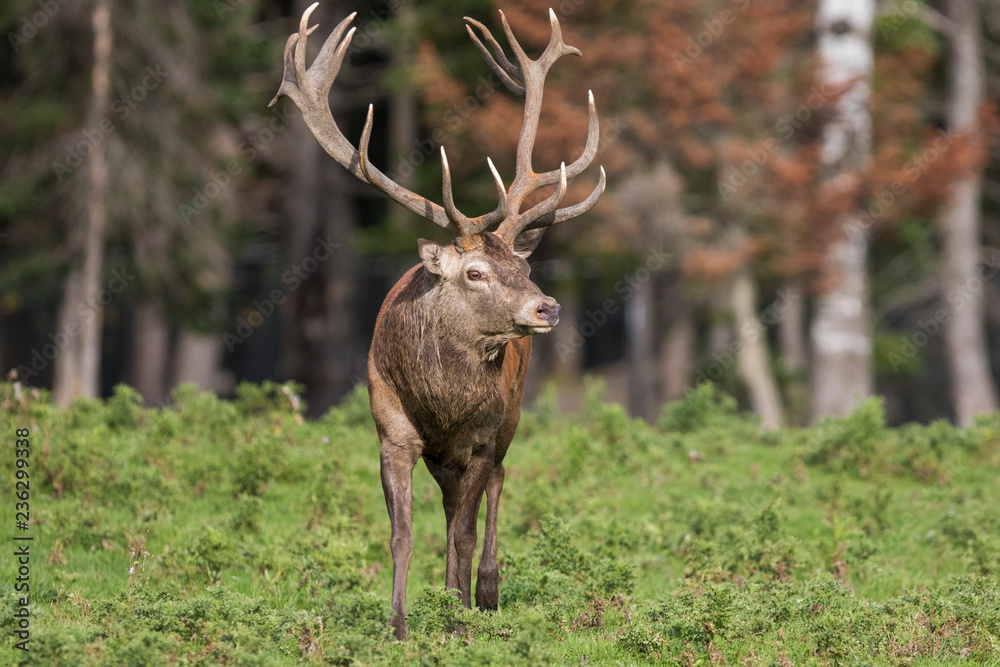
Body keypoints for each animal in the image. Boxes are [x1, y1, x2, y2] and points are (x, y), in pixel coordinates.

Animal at [271, 3, 604, 639]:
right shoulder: (392, 432)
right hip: (441, 455)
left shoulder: (479, 436)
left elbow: (465, 533)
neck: (440, 402)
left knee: (493, 488)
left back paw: (485, 594)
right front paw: (400, 627)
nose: (547, 306)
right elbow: (402, 535)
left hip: (508, 420)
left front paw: (458, 620)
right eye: (475, 272)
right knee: (451, 508)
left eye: (523, 267)